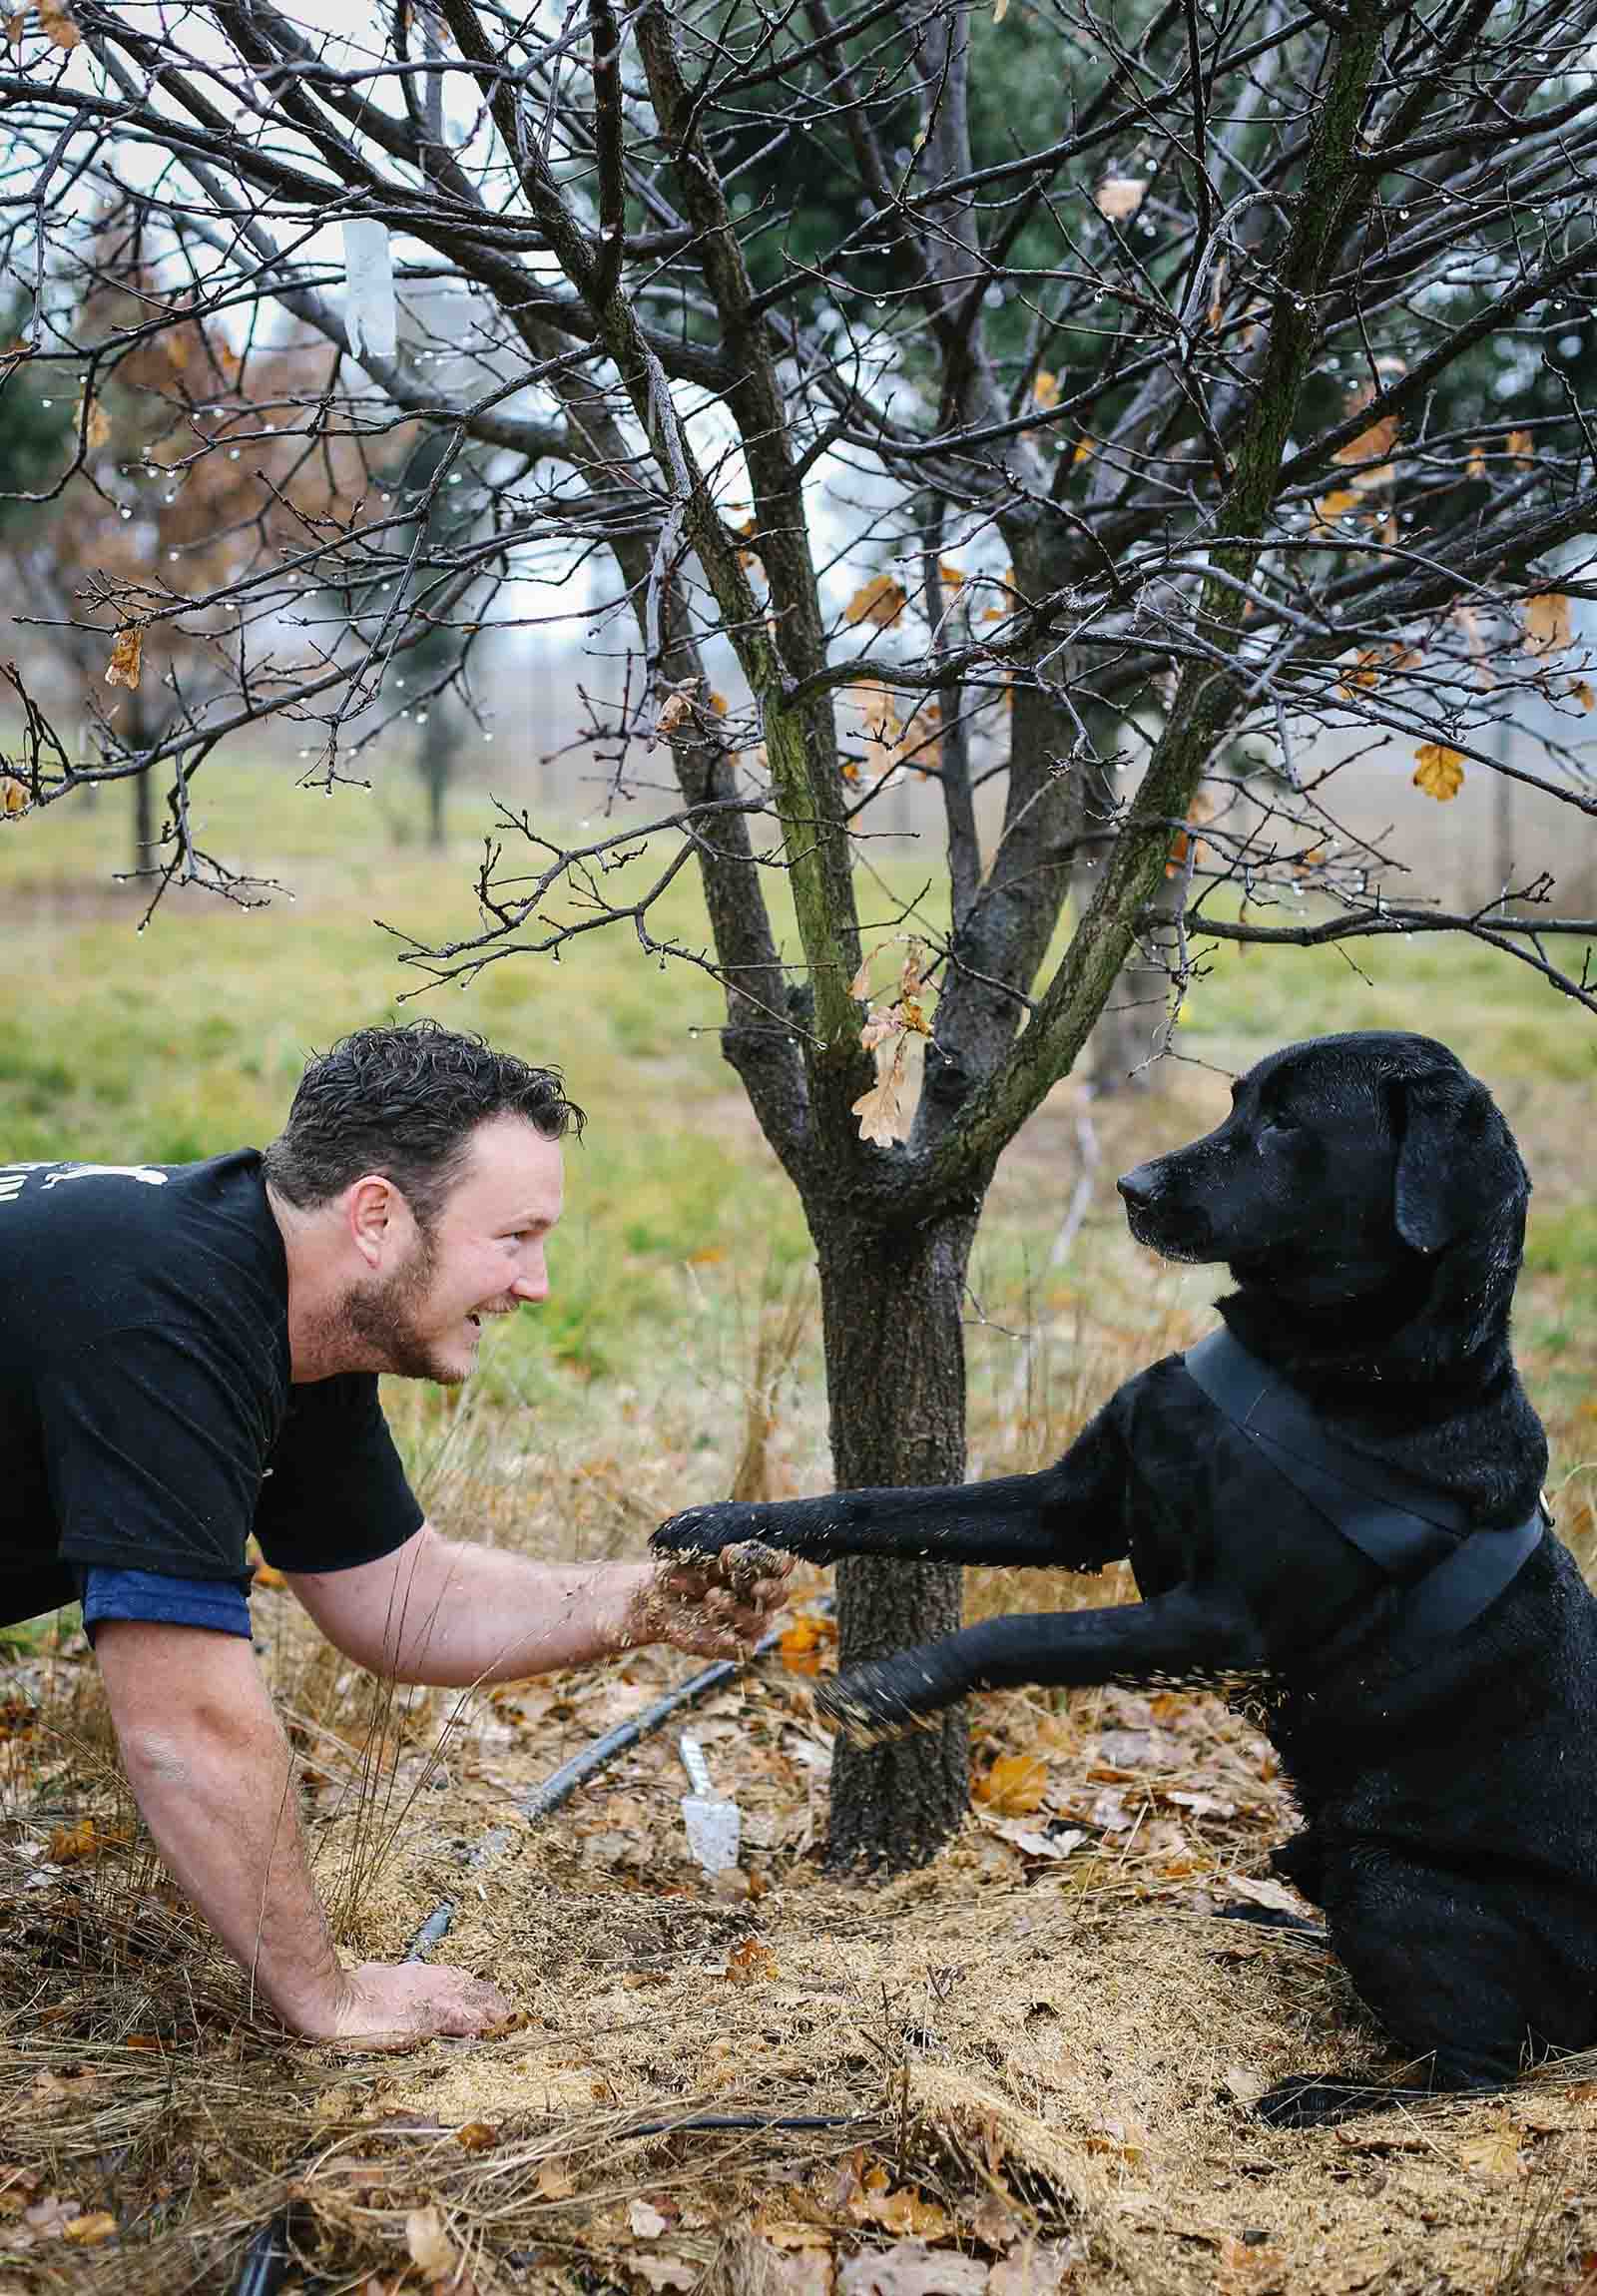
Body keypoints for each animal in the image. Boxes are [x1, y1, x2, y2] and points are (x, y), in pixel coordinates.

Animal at [651, 1033, 1597, 2121]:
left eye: (1286, 1124)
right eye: (1236, 1101)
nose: (1131, 1186)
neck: (1323, 1367)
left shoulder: (1220, 1621)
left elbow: (1018, 1635)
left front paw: (896, 1683)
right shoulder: (1071, 1505)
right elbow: (875, 1504)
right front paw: (725, 1522)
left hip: (1393, 1878)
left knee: (1478, 2068)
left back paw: (1321, 2093)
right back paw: (1269, 1921)